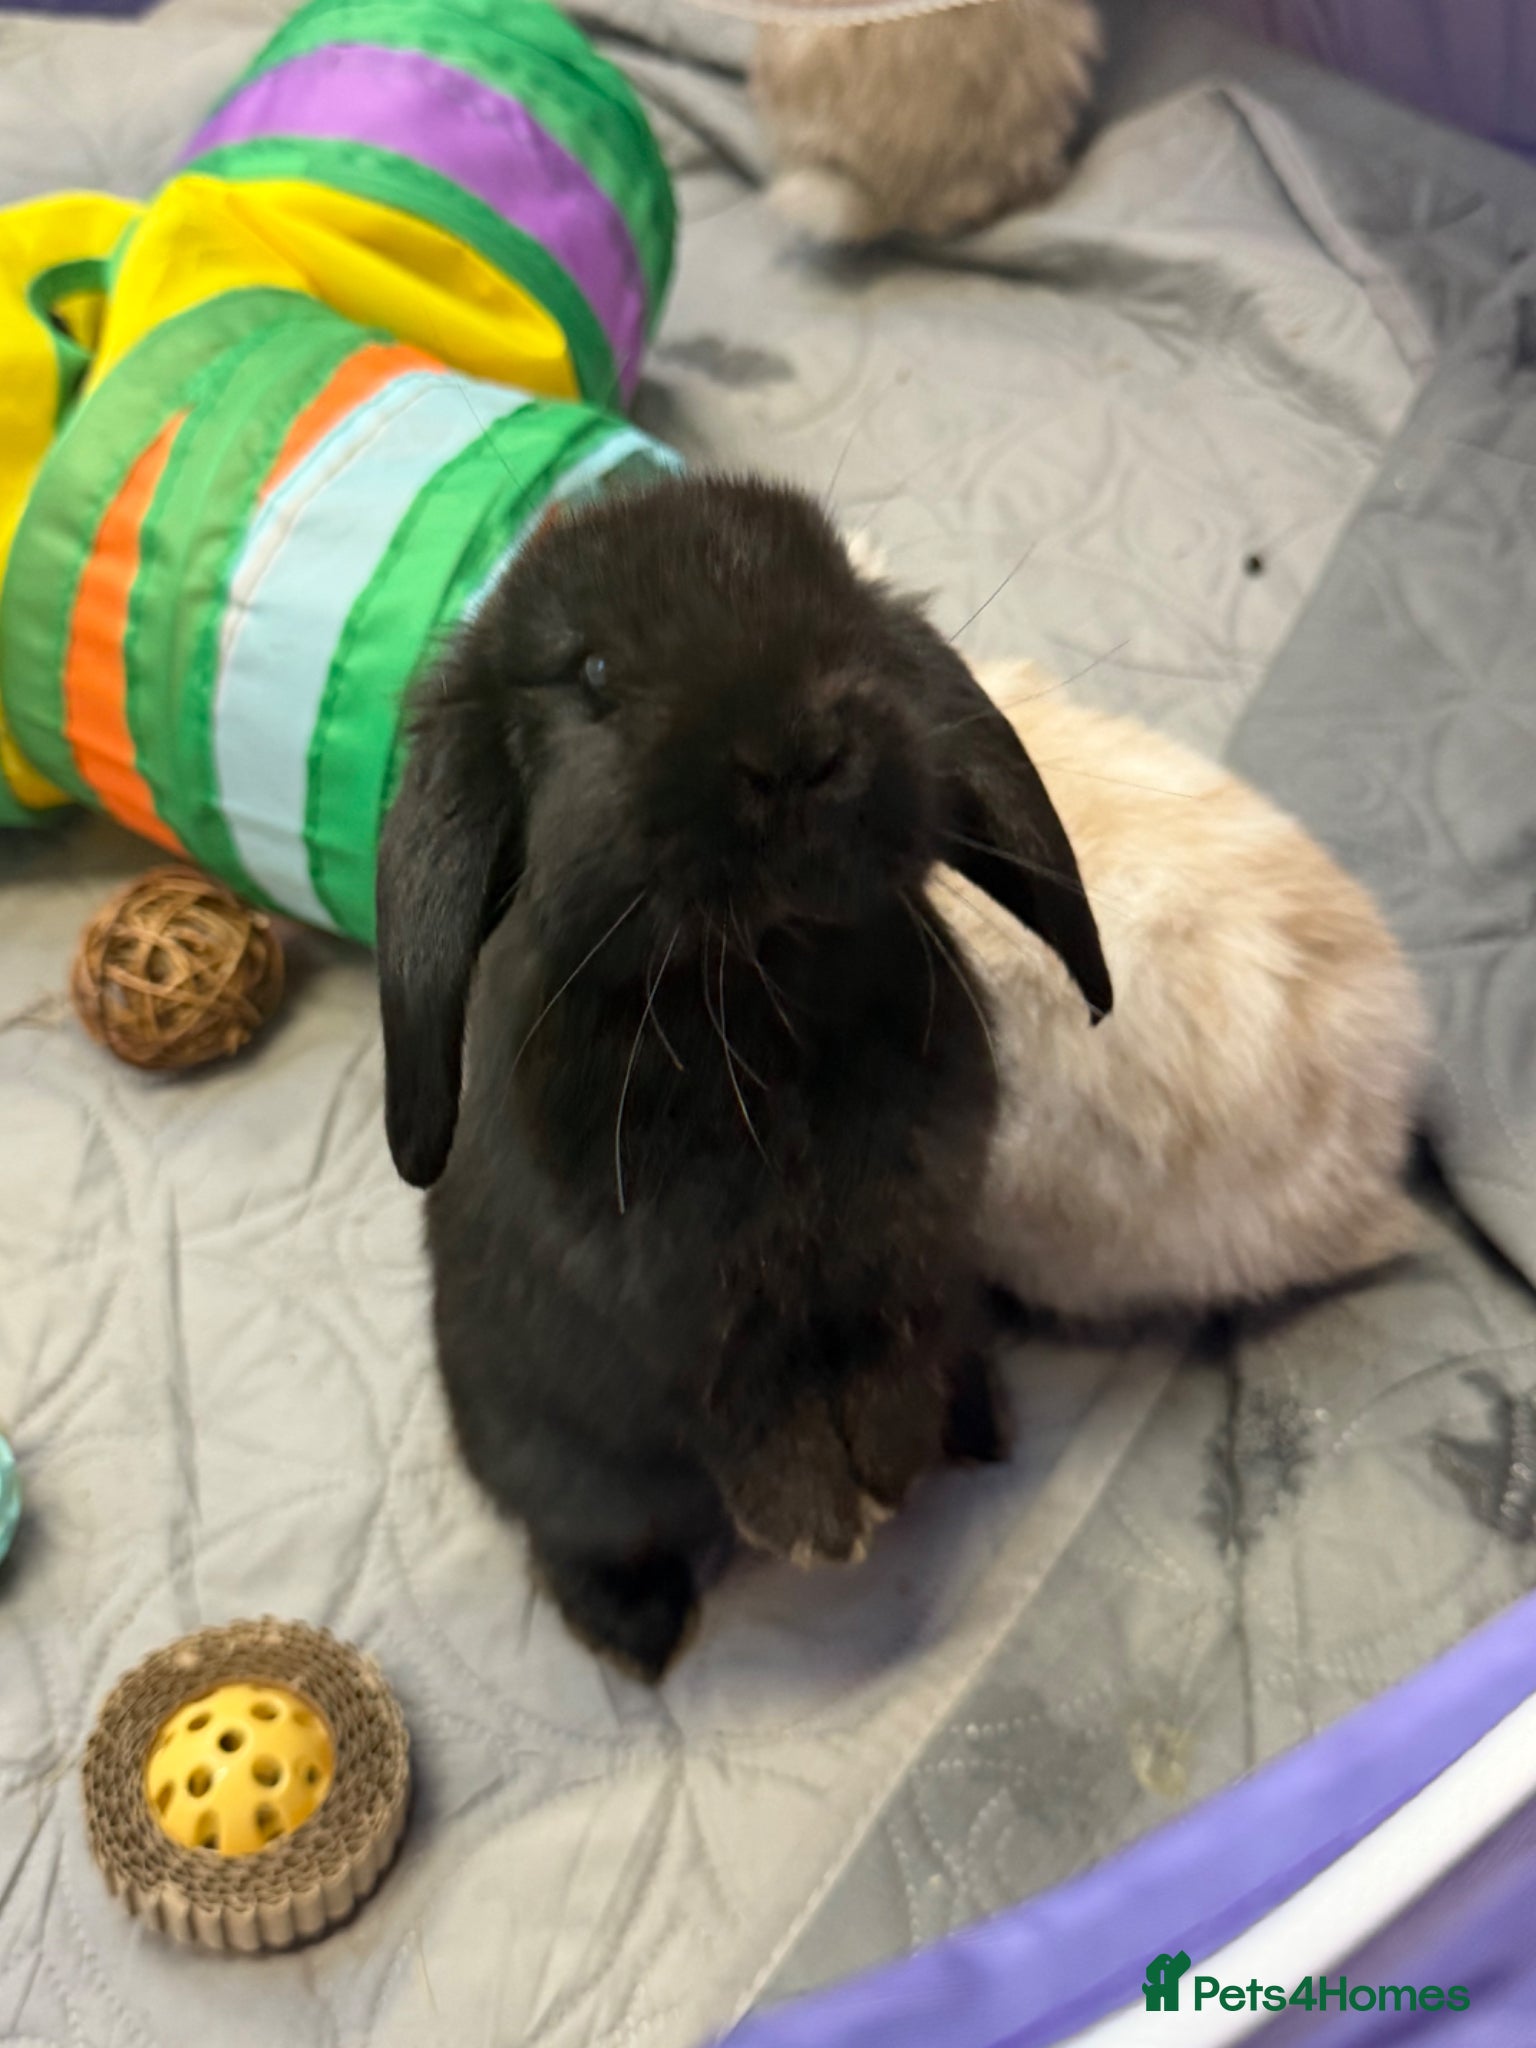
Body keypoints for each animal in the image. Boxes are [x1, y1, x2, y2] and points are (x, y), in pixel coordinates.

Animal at [376, 476, 1112, 1679]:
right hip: (568, 1471)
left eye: (843, 604)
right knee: (576, 1539)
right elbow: (746, 1408)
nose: (795, 747)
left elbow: (892, 1340)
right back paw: (636, 1636)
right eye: (591, 672)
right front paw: (818, 1518)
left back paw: (976, 1420)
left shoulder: (913, 1241)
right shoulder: (679, 1317)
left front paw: (892, 1456)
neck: (766, 994)